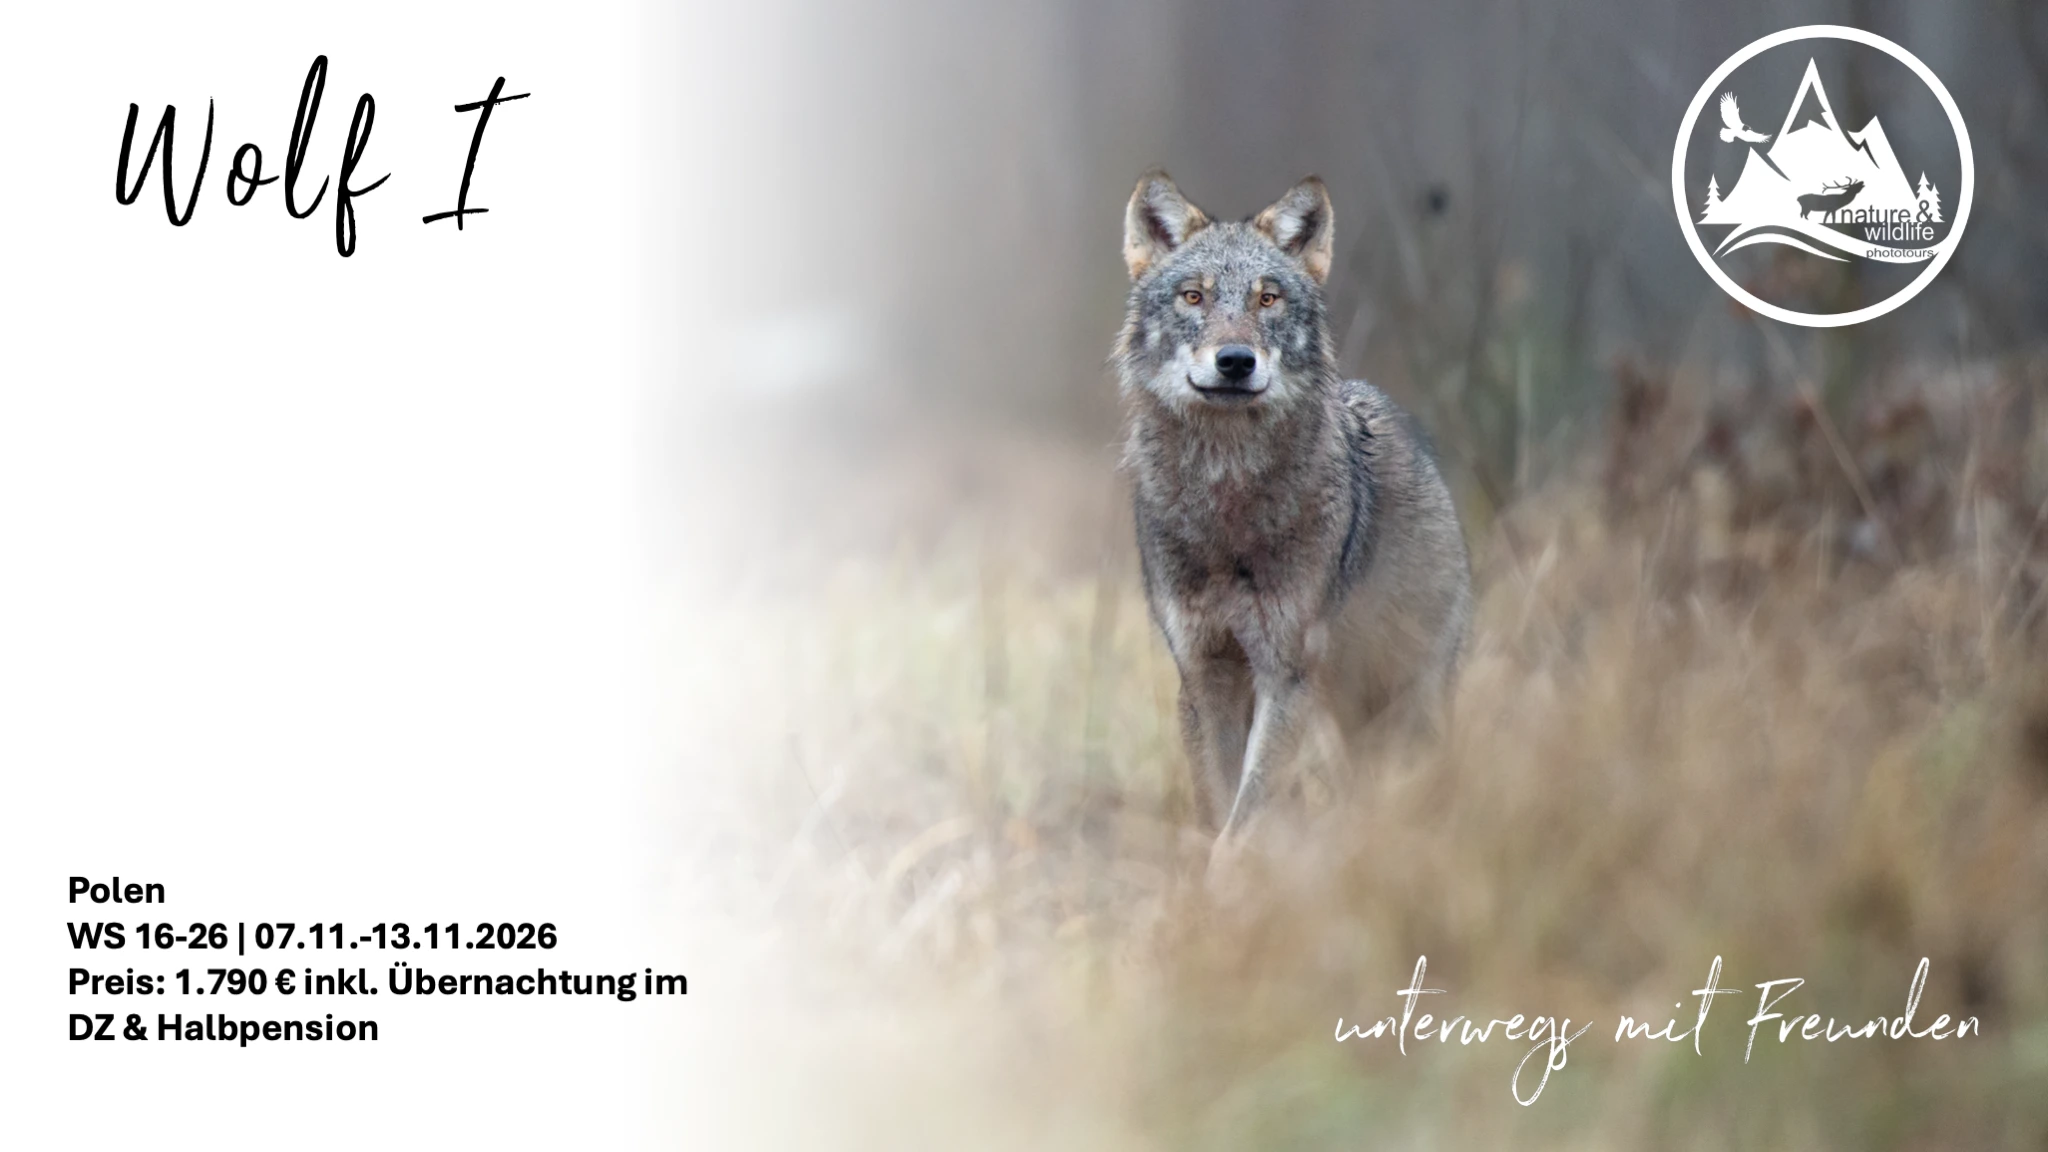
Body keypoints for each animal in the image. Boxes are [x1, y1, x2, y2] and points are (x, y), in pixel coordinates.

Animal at [1113, 171, 1473, 854]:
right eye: (1194, 297)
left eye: (1268, 299)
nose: (1235, 360)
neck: (1228, 506)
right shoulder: (1204, 675)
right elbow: (1218, 809)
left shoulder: (1286, 674)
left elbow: (1242, 822)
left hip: (1403, 704)